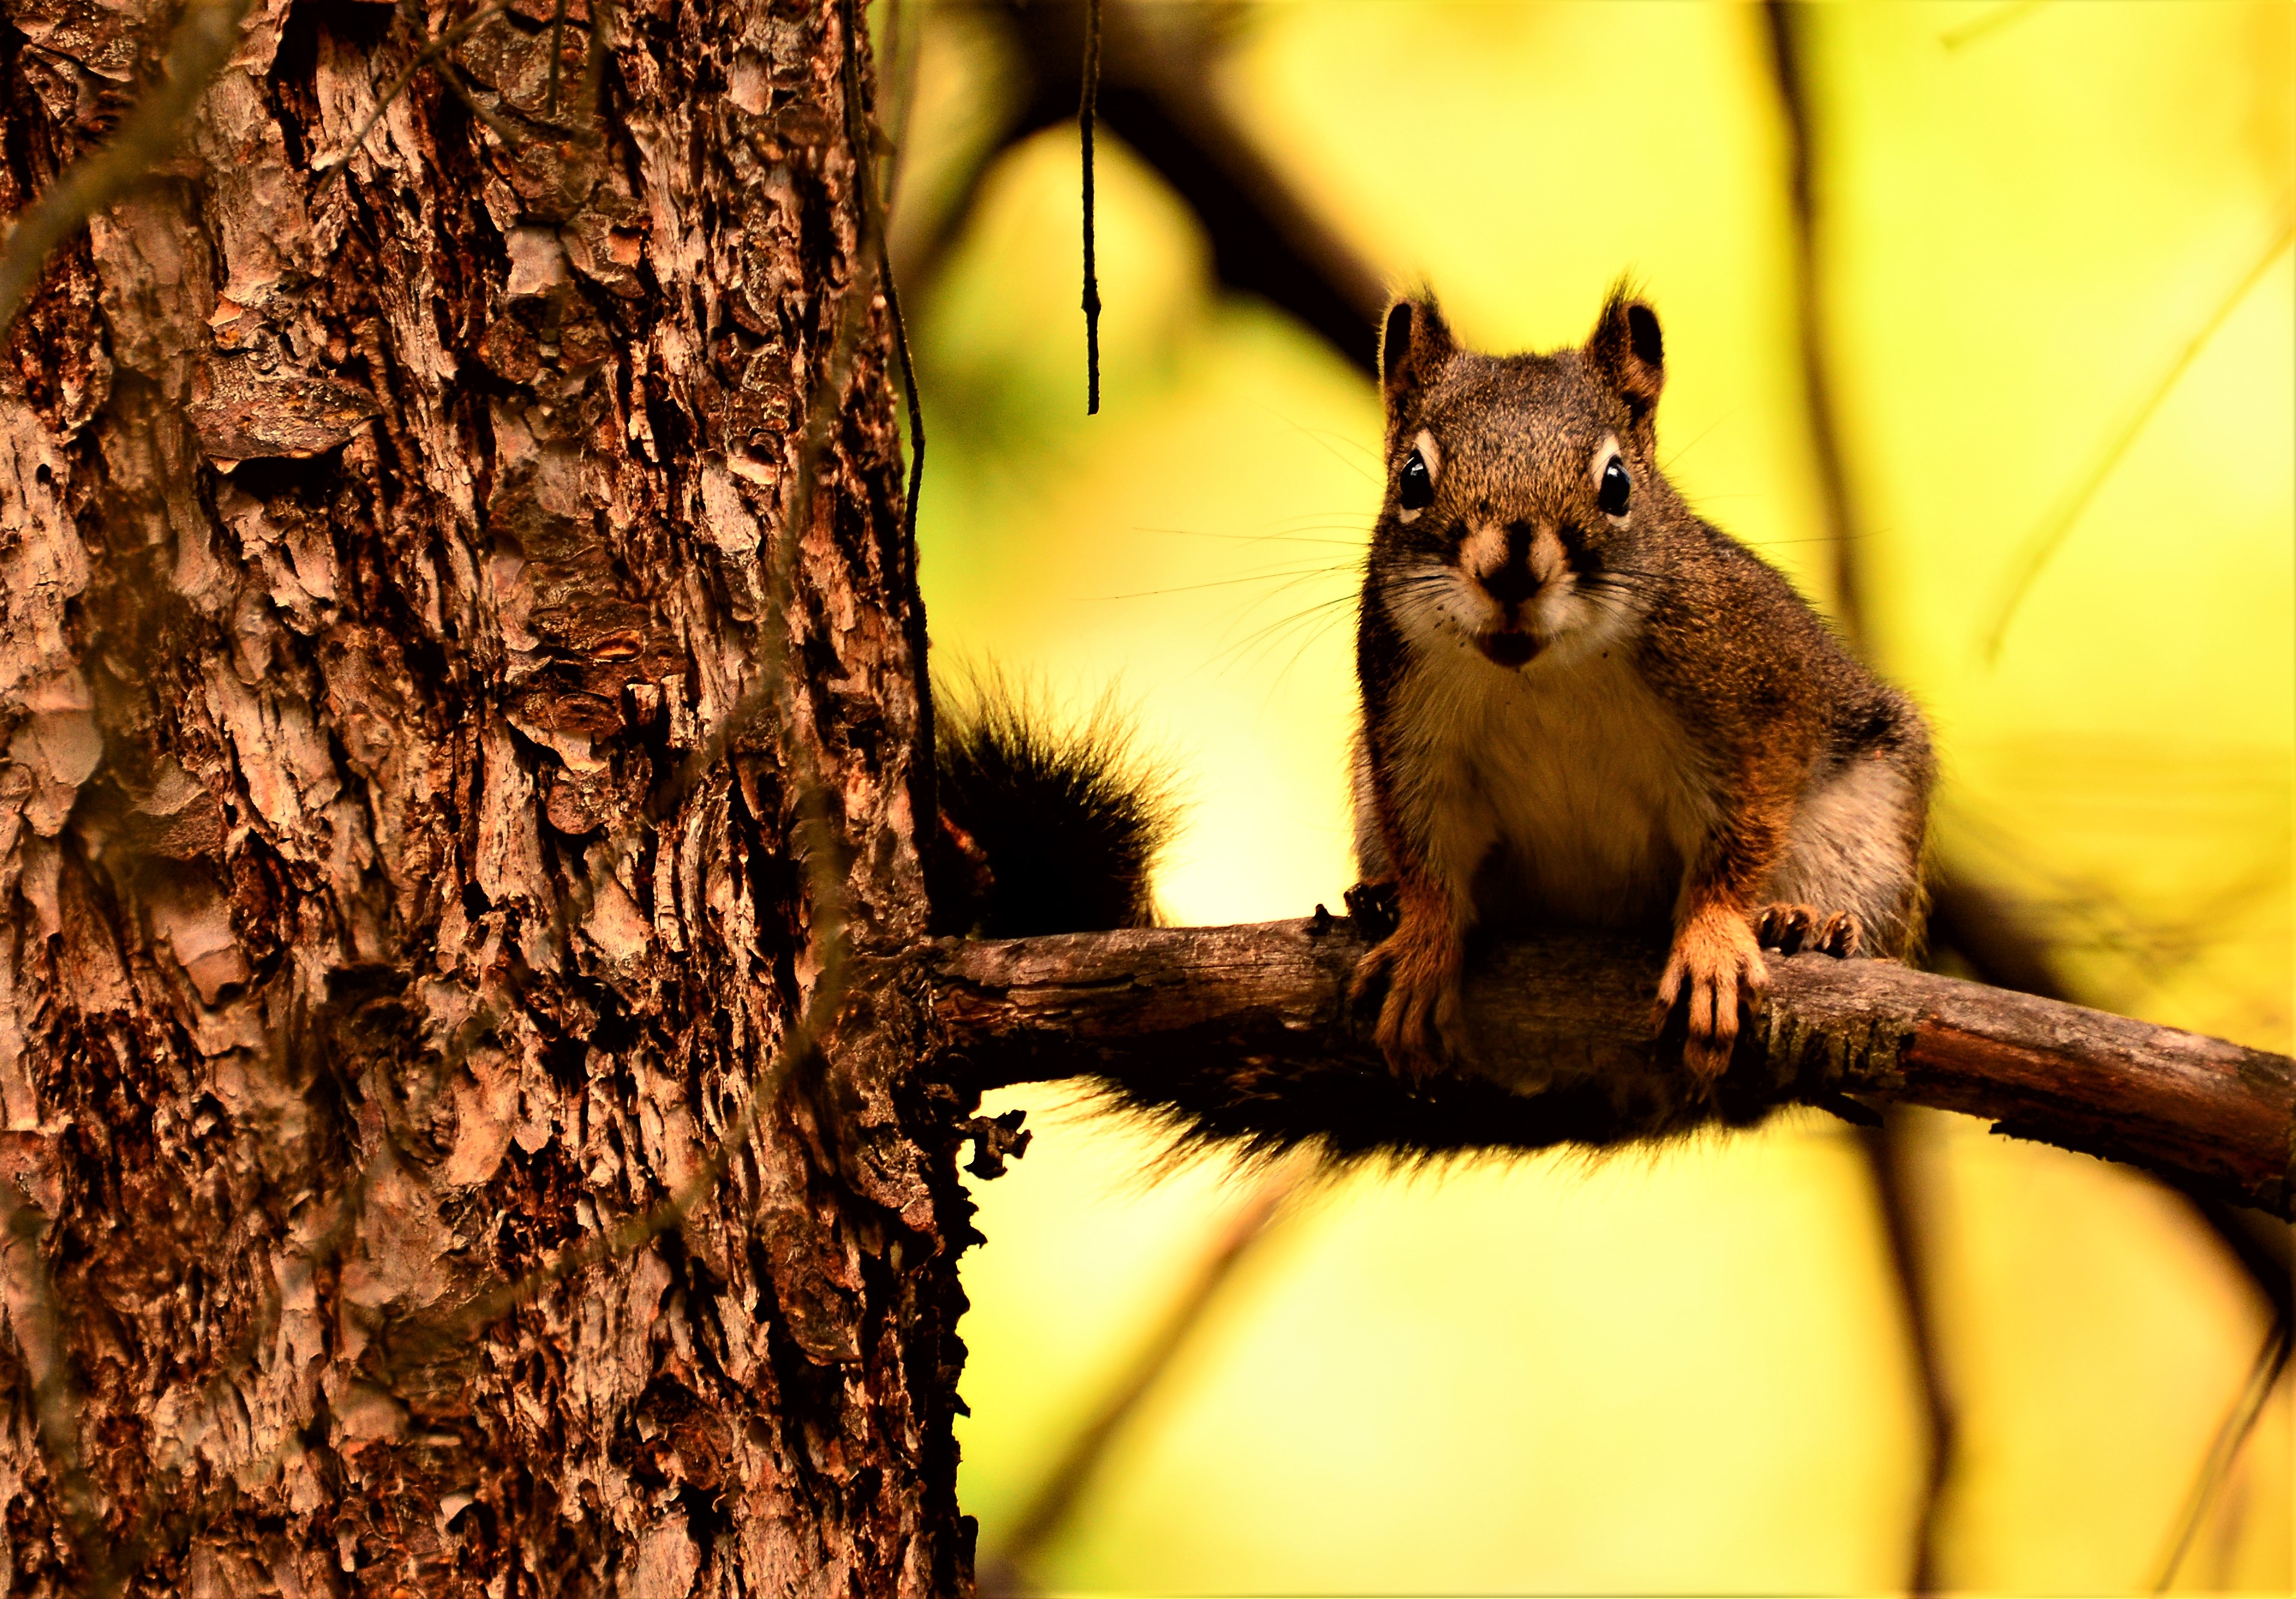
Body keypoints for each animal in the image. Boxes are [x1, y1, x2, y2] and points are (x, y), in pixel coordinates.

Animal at [1349, 288, 1933, 1079]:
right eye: (1412, 477)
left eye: (1617, 483)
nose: (1510, 571)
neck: (1544, 674)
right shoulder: (1408, 730)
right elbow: (1426, 853)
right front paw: (1419, 943)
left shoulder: (1750, 712)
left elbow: (1737, 842)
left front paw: (1713, 946)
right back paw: (1377, 899)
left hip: (1870, 825)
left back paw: (1805, 923)